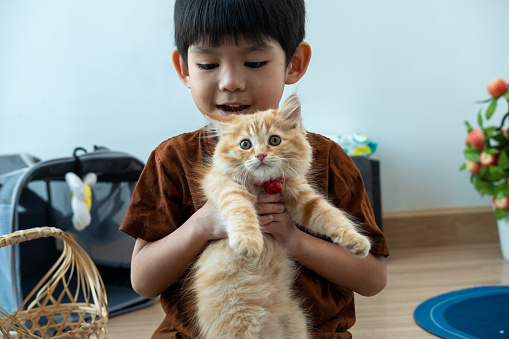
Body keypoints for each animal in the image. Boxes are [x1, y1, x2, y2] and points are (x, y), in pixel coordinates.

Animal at [190, 94, 370, 338]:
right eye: (245, 144)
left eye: (274, 140)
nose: (260, 155)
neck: (265, 185)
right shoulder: (227, 187)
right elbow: (241, 210)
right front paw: (248, 241)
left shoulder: (303, 200)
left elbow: (331, 215)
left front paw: (356, 241)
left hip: (296, 324)